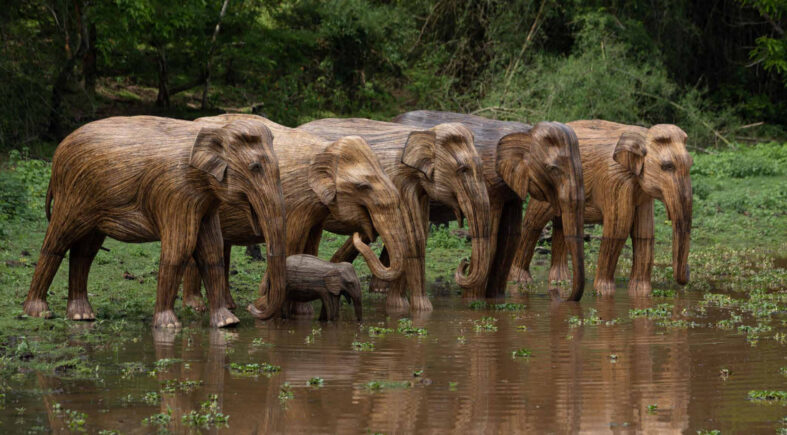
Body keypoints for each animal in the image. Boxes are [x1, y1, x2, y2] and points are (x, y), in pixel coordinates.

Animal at [22, 116, 287, 328]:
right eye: (255, 167)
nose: (254, 306)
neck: (214, 130)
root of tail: (57, 153)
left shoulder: (205, 201)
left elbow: (211, 251)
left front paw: (227, 323)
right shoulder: (175, 191)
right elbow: (179, 249)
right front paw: (169, 326)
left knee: (85, 251)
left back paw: (82, 316)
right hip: (72, 193)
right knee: (58, 241)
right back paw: (39, 313)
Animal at [181, 114, 408, 319]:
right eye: (363, 186)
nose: (359, 235)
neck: (324, 148)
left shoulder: (315, 209)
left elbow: (311, 244)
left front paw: (301, 311)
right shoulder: (294, 203)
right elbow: (293, 241)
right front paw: (269, 305)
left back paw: (229, 306)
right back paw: (197, 307)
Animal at [296, 118, 491, 311]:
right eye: (463, 169)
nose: (464, 262)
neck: (422, 132)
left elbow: (417, 233)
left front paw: (399, 306)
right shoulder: (397, 180)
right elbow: (413, 238)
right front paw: (422, 310)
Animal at [394, 110, 586, 301]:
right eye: (553, 169)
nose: (561, 297)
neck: (526, 130)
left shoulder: (511, 191)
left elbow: (510, 237)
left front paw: (496, 299)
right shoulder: (489, 183)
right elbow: (492, 239)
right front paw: (474, 301)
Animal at [509, 120, 692, 296]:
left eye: (690, 165)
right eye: (667, 166)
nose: (688, 272)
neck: (643, 133)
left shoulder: (641, 193)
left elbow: (644, 234)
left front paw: (641, 293)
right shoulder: (614, 180)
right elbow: (618, 231)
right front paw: (604, 293)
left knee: (561, 225)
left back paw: (561, 282)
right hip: (542, 183)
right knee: (534, 222)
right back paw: (520, 281)